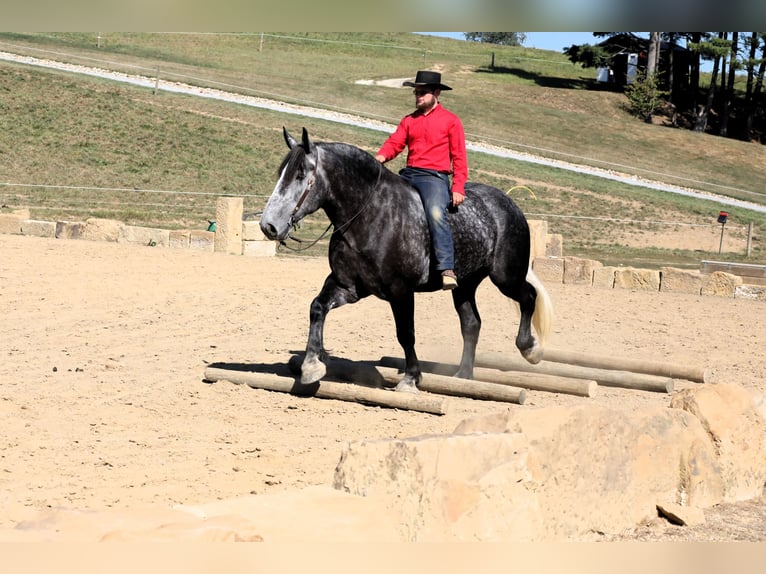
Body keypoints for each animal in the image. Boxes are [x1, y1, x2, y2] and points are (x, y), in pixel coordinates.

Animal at [260, 128, 556, 394]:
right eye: (281, 173)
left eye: (300, 175)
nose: (268, 226)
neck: (370, 216)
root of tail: (509, 204)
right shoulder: (348, 287)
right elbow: (317, 308)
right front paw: (312, 365)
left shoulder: (400, 290)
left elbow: (406, 332)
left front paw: (411, 379)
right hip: (464, 285)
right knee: (472, 324)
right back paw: (463, 375)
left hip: (506, 277)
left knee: (529, 297)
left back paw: (530, 349)